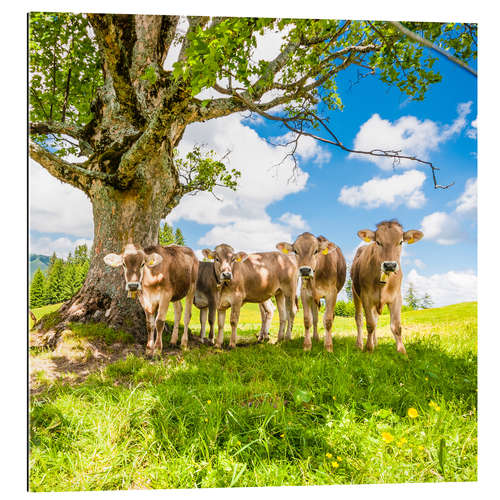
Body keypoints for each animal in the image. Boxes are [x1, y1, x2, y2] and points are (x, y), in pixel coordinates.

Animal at [350, 220, 424, 356]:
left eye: (401, 242)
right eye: (378, 242)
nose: (389, 265)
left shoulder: (397, 298)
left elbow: (396, 326)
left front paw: (402, 352)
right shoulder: (366, 297)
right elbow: (370, 324)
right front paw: (368, 349)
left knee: (375, 319)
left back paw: (375, 343)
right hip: (354, 292)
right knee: (359, 319)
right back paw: (359, 345)